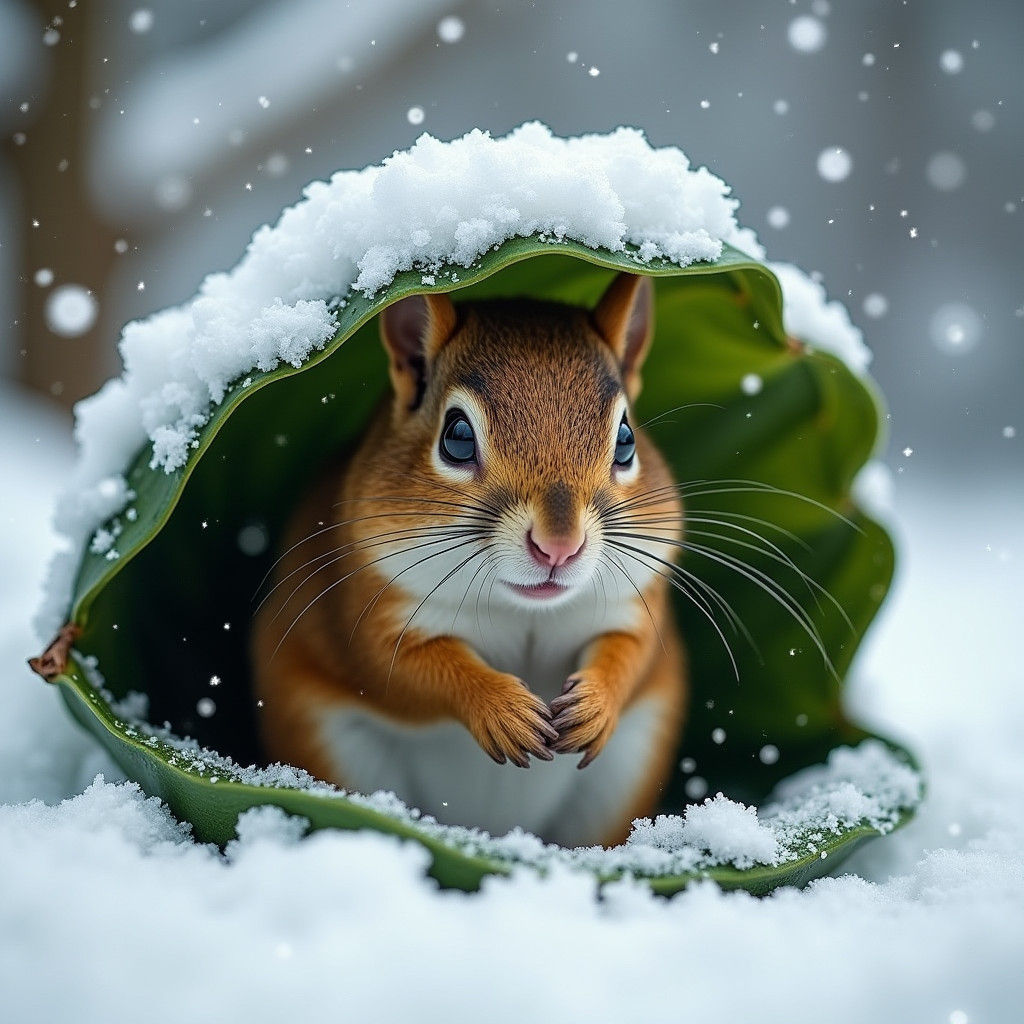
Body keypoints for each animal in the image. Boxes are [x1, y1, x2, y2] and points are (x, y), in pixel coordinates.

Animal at [250, 272, 688, 848]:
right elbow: (401, 670)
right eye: (457, 437)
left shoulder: (637, 603)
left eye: (626, 440)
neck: (524, 610)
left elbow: (633, 652)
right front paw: (501, 709)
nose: (559, 546)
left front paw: (596, 704)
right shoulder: (365, 607)